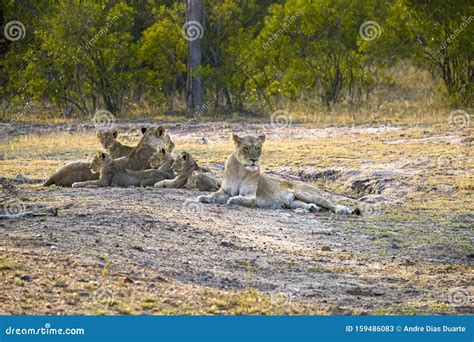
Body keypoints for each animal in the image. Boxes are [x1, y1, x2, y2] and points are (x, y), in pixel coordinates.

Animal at [196, 134, 356, 214]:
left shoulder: (251, 196)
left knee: (329, 203)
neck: (241, 170)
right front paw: (204, 197)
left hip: (305, 193)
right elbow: (214, 195)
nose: (254, 160)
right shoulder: (224, 191)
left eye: (258, 148)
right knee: (306, 204)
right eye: (246, 148)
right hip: (292, 201)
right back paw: (311, 208)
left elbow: (241, 199)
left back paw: (342, 209)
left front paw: (233, 200)